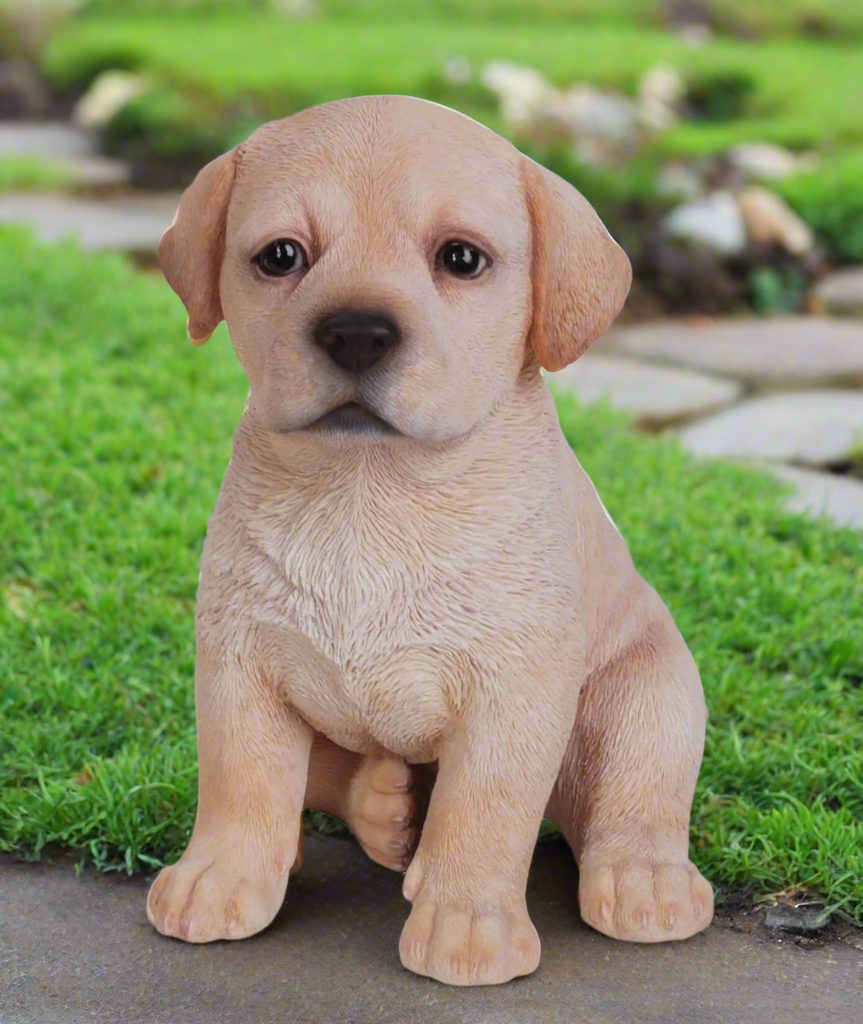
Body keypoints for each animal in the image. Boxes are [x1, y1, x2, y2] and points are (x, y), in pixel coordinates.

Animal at [148, 94, 716, 983]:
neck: (368, 493)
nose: (355, 332)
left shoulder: (513, 694)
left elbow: (482, 810)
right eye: (280, 256)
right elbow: (241, 778)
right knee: (333, 777)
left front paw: (467, 924)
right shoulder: (240, 660)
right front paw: (219, 879)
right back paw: (382, 806)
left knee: (634, 793)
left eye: (460, 258)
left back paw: (642, 879)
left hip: (647, 694)